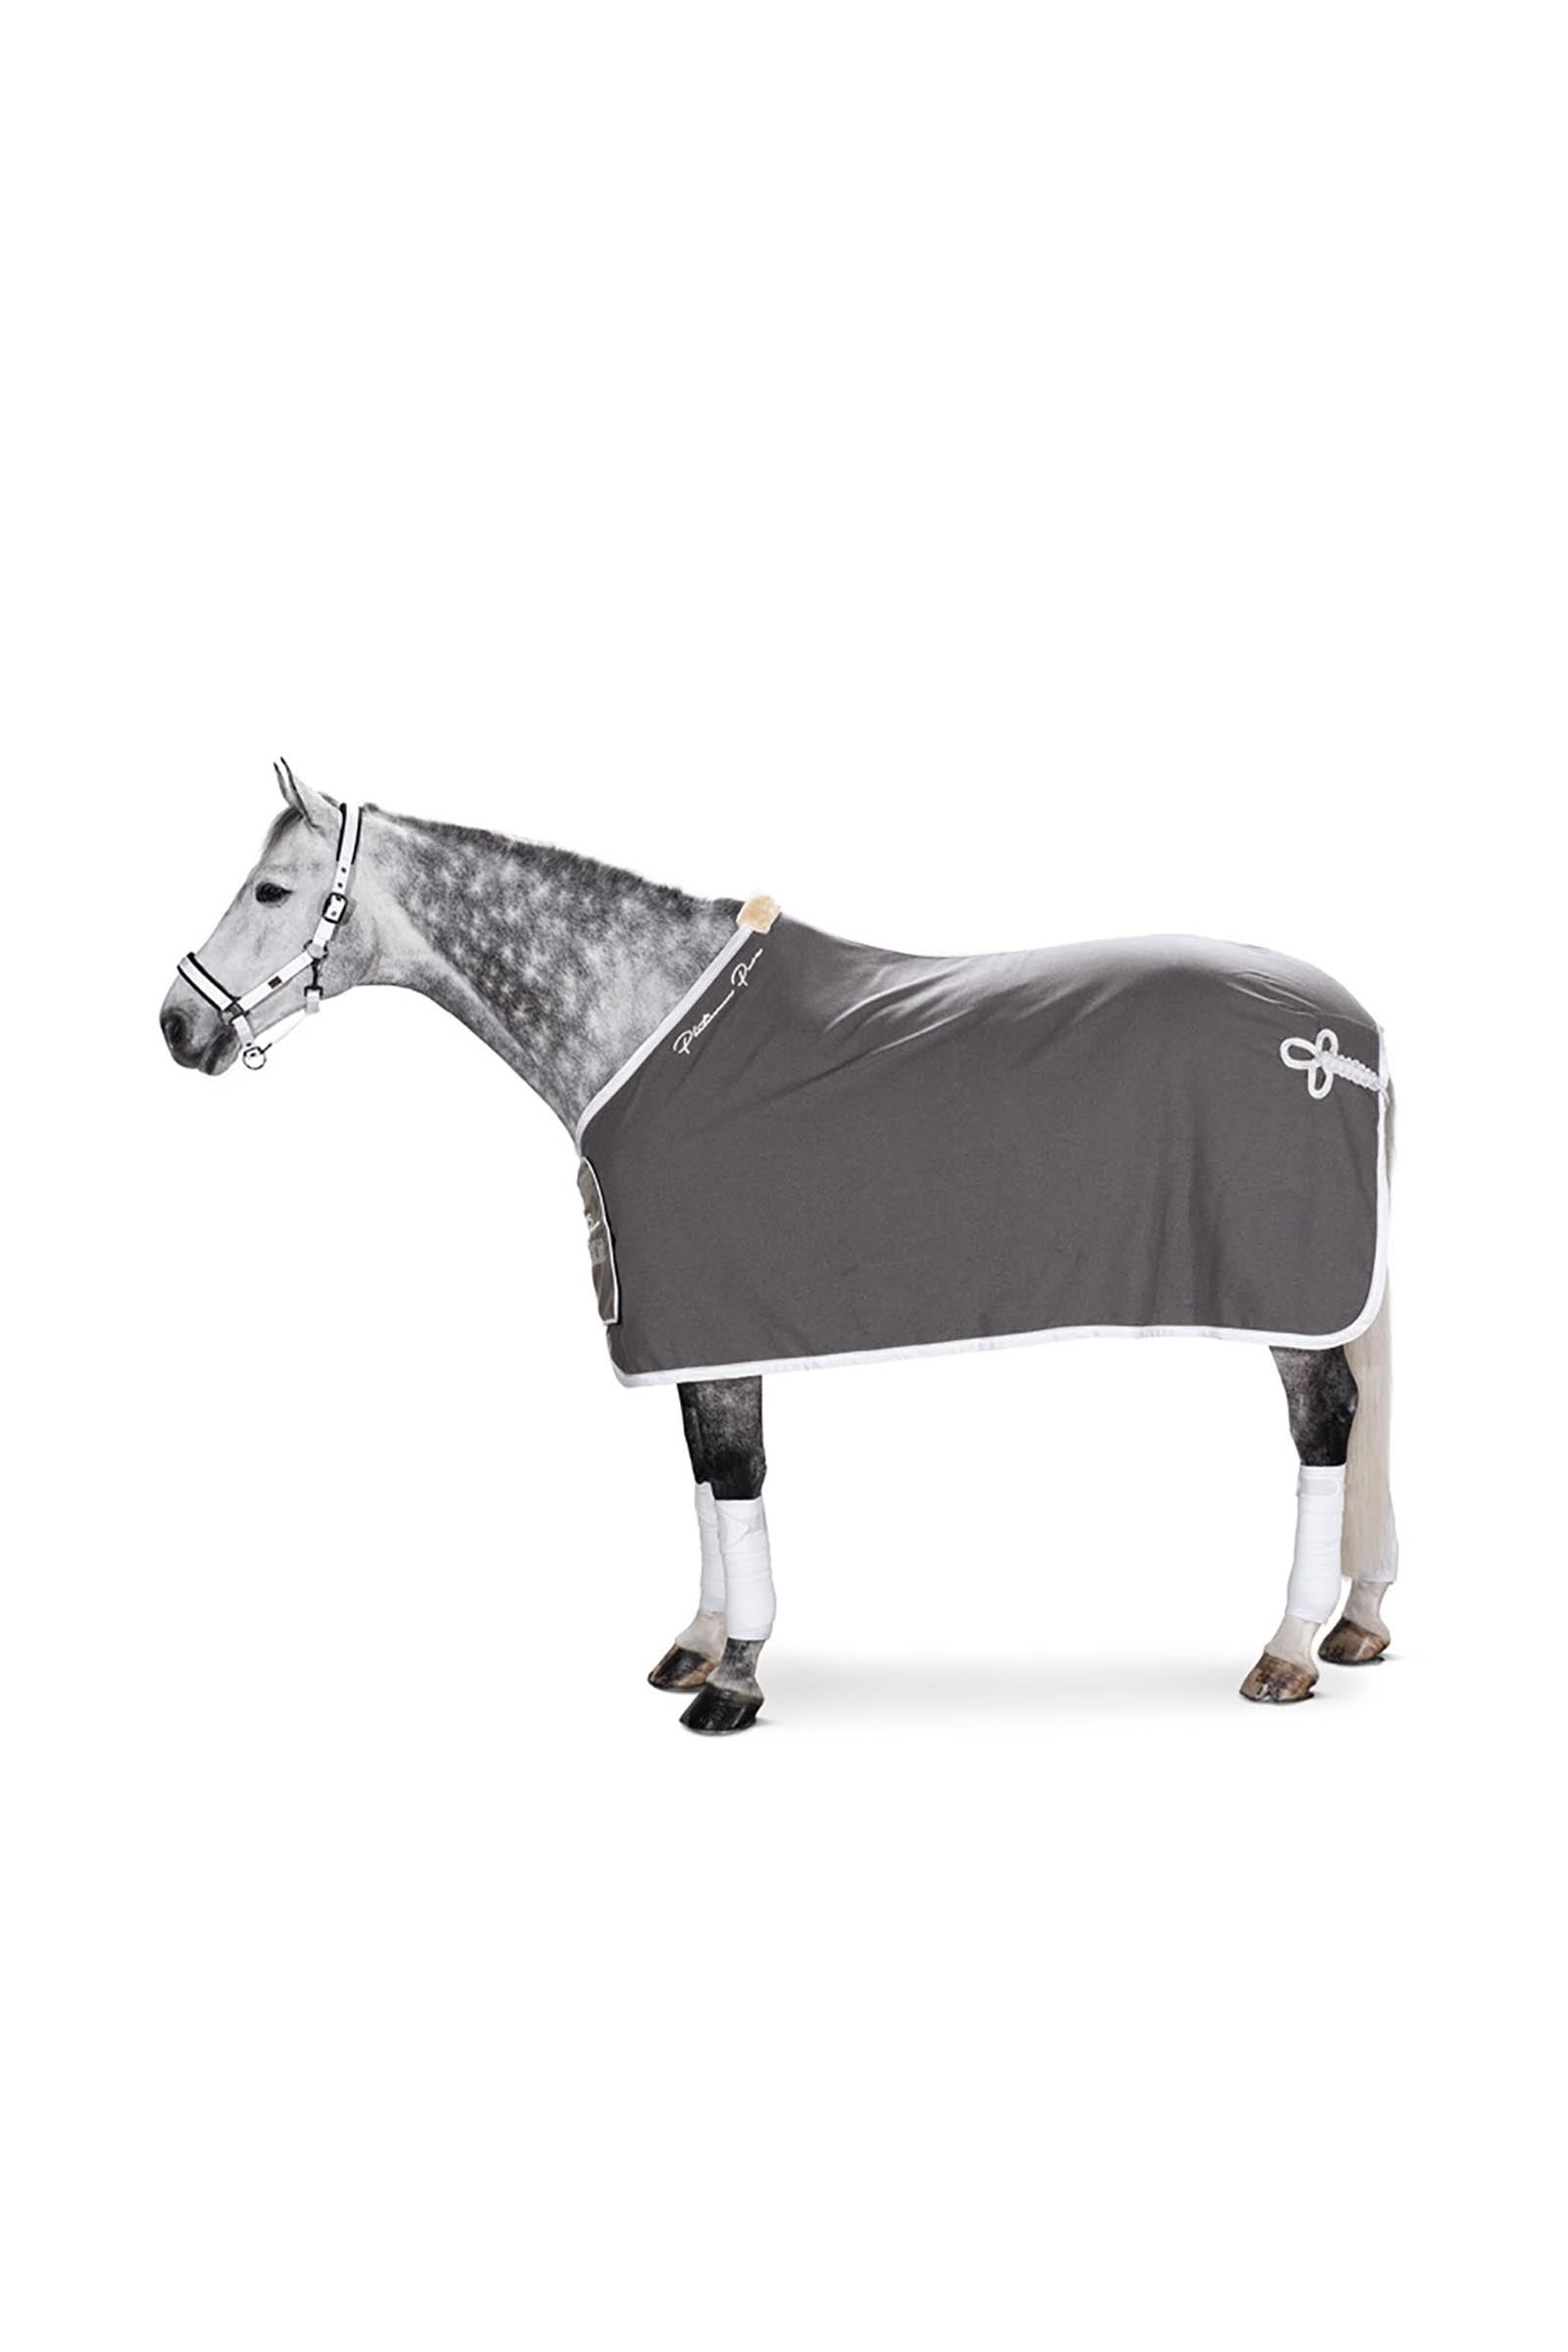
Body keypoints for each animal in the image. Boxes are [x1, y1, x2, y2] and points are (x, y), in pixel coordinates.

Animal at [161, 761, 1398, 1734]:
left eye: (271, 889)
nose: (177, 1024)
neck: (649, 1022)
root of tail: (1346, 1037)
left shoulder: (708, 1316)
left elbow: (736, 1474)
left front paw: (737, 1680)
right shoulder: (681, 1329)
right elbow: (704, 1480)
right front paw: (700, 1644)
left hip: (1290, 1301)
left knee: (1324, 1426)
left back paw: (1286, 1649)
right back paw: (1356, 1622)